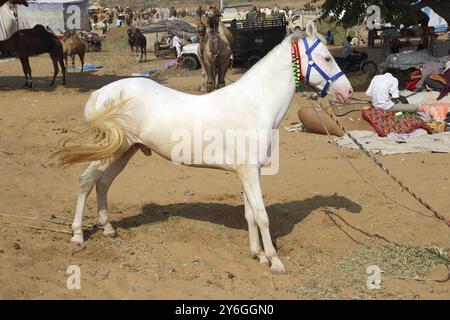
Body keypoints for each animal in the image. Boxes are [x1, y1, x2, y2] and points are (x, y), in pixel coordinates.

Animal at [55, 22, 352, 274]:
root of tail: (100, 94)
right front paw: (275, 261)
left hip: (125, 151)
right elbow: (262, 215)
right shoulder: (248, 172)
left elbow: (250, 214)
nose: (347, 92)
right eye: (327, 58)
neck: (255, 104)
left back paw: (107, 228)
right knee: (86, 181)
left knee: (103, 183)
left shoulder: (249, 172)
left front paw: (258, 254)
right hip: (111, 151)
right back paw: (78, 234)